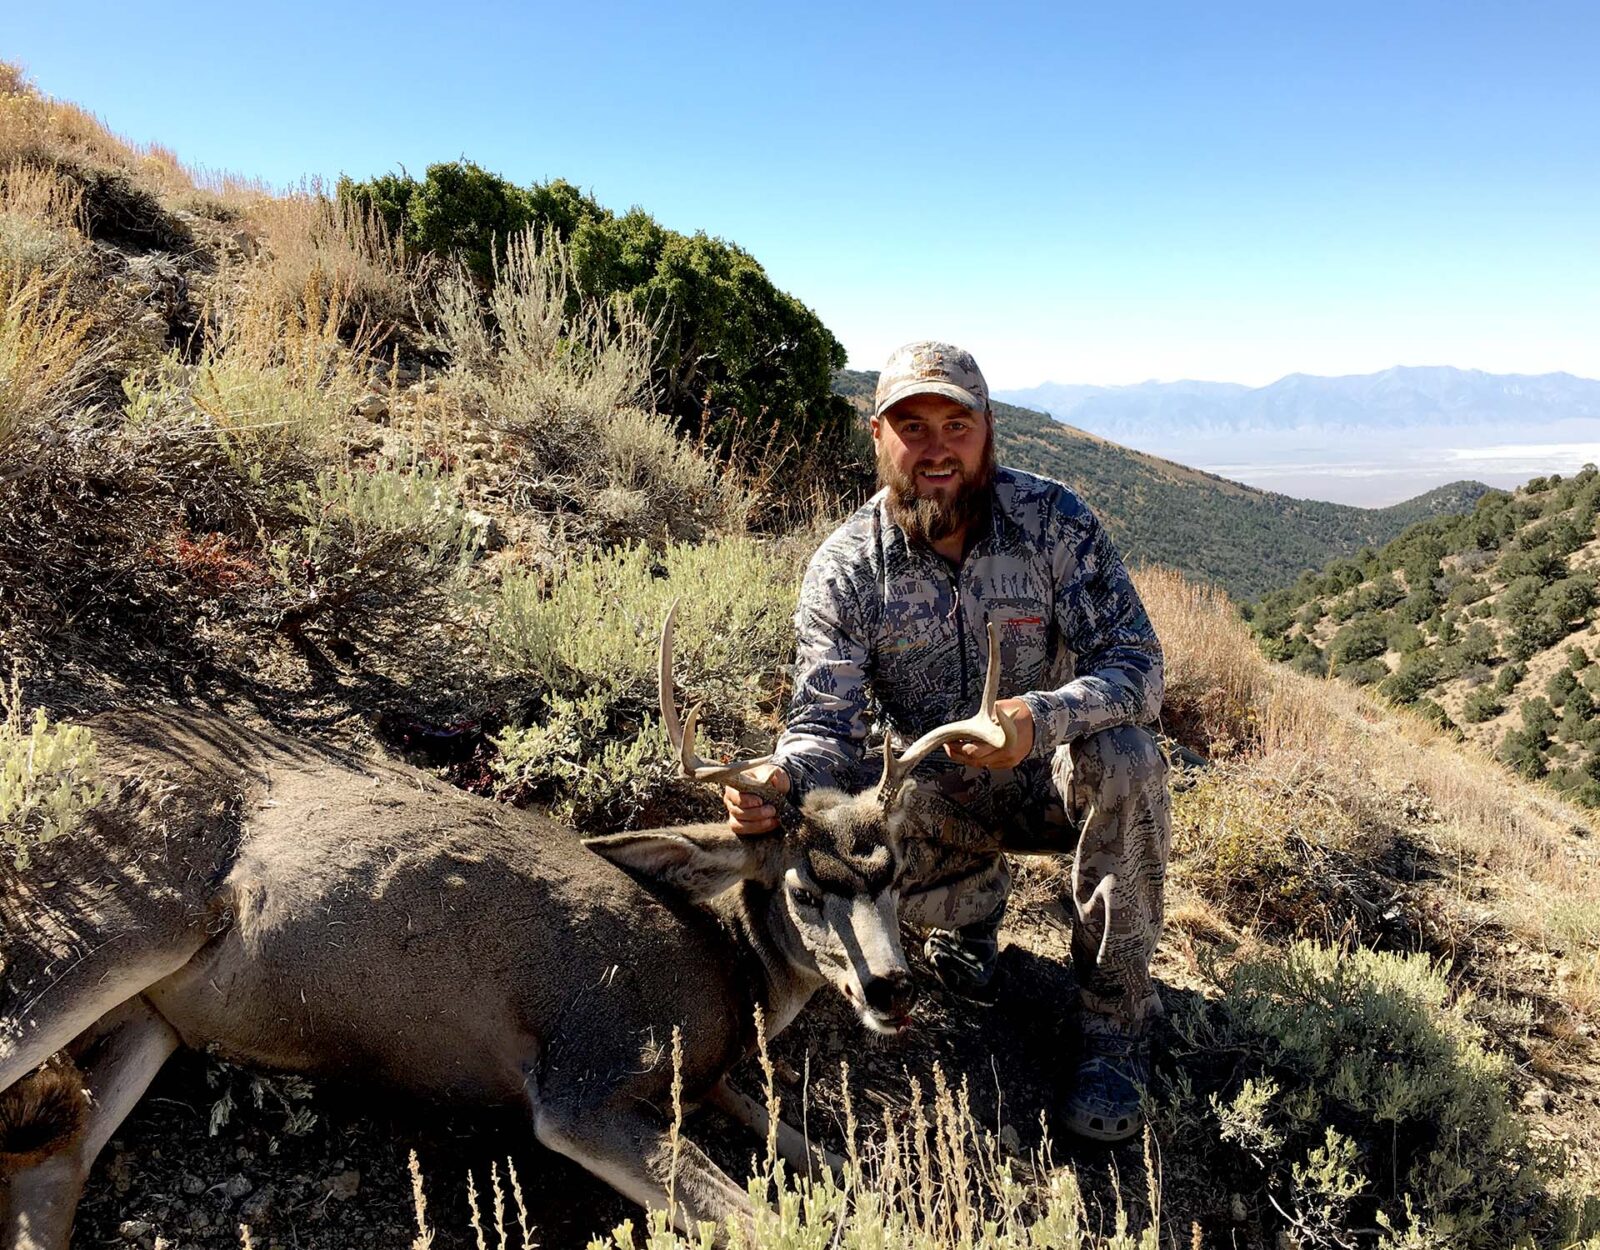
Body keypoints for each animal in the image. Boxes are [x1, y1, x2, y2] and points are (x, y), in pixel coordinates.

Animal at [0, 608, 1017, 1241]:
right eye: (805, 889)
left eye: (898, 877)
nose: (893, 988)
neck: (725, 978)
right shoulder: (586, 1080)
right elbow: (768, 1220)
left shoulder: (710, 1085)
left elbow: (834, 1163)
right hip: (111, 918)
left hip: (154, 1018)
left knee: (45, 1178)